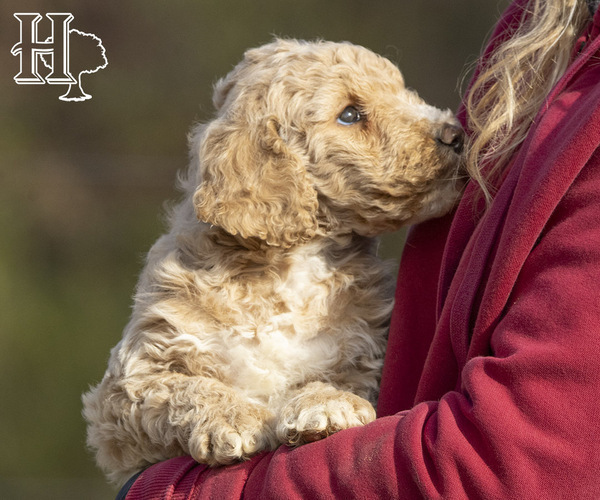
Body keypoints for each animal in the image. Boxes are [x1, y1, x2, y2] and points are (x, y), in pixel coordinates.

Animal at [82, 39, 466, 484]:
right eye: (350, 114)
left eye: (402, 90)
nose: (456, 134)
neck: (289, 266)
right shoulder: (128, 388)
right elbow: (179, 388)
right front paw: (233, 417)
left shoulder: (361, 354)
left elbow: (334, 382)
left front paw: (326, 406)